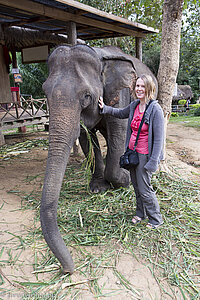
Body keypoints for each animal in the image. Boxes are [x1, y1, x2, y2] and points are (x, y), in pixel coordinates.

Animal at [41, 44, 157, 274]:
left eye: (86, 96)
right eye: (45, 92)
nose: (69, 269)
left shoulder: (121, 93)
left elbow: (118, 131)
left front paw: (123, 180)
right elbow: (86, 138)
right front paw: (97, 187)